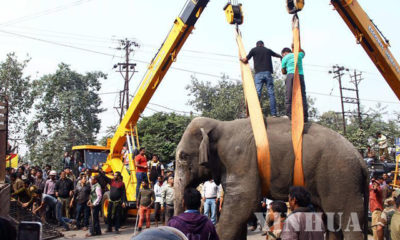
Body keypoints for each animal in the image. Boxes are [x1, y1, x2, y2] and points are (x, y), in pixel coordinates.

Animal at [173, 116, 368, 240]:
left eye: (183, 156)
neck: (220, 125)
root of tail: (360, 159)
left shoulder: (240, 158)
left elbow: (243, 204)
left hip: (341, 176)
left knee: (349, 221)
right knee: (332, 222)